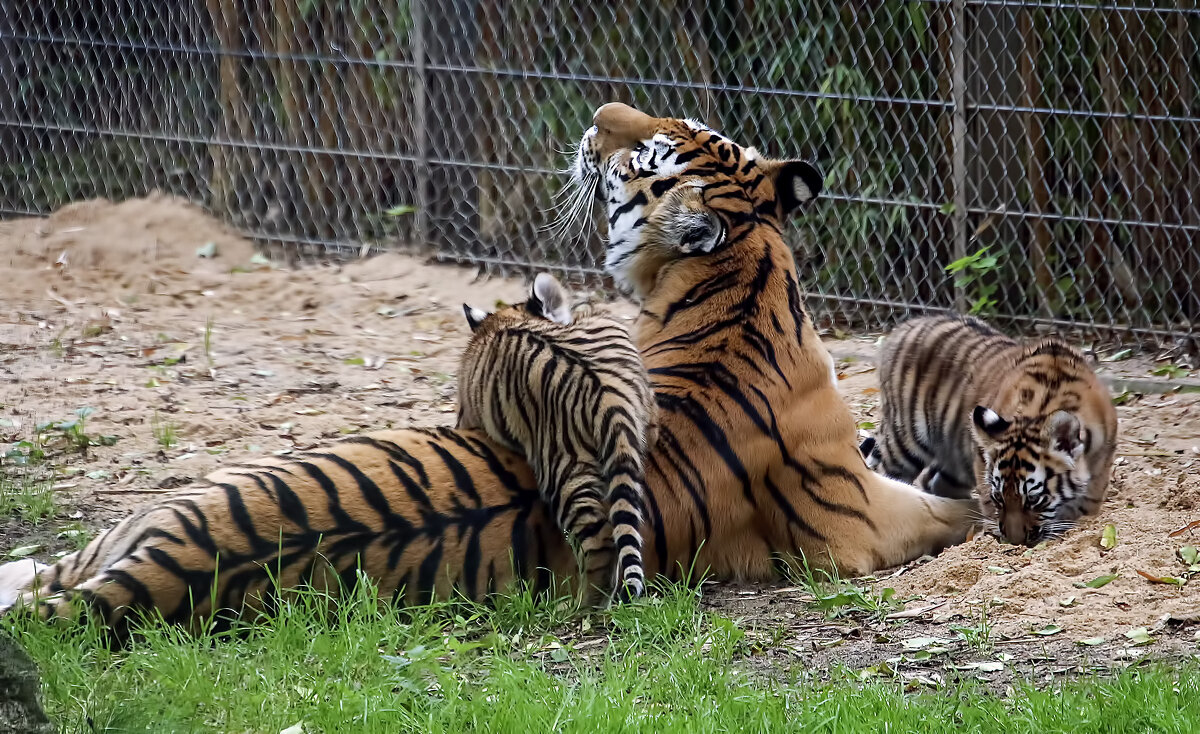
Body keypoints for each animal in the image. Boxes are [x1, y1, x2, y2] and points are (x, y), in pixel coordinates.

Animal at [0, 101, 969, 628]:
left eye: (648, 152)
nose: (598, 118)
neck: (740, 269)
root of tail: (169, 562)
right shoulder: (856, 523)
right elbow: (950, 511)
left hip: (159, 508)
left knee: (42, 574)